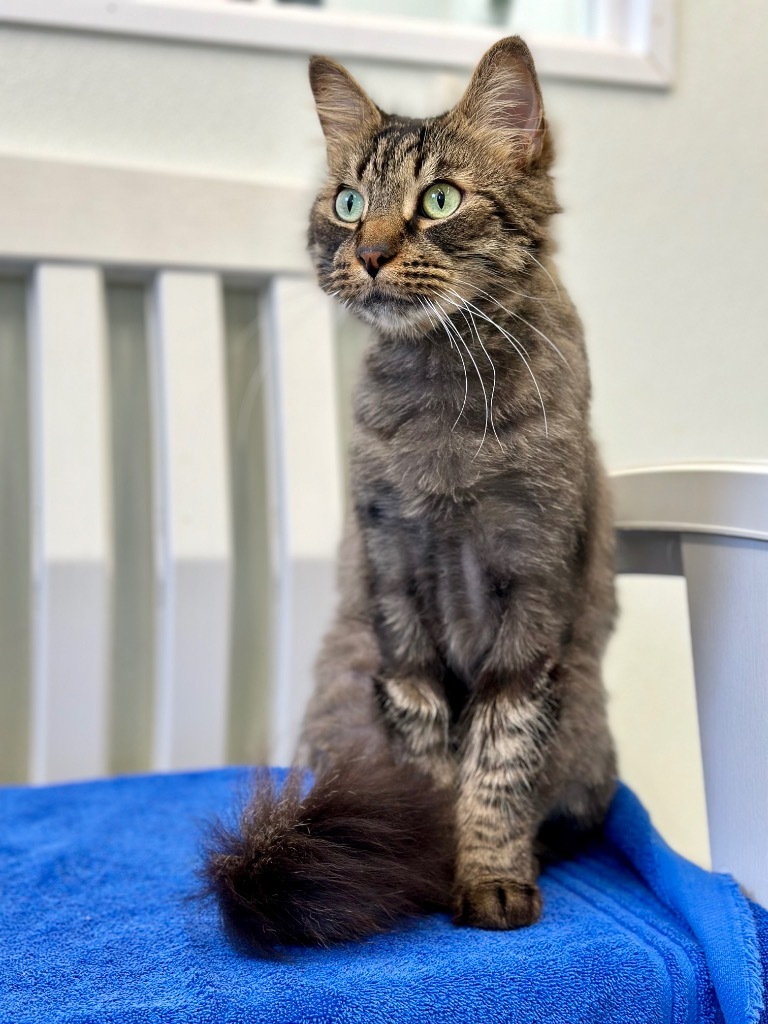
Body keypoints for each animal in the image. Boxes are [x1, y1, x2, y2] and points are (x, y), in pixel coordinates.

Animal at [205, 36, 618, 954]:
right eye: (350, 203)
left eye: (439, 200)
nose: (369, 254)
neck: (444, 409)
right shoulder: (396, 593)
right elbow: (427, 762)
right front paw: (424, 864)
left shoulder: (531, 603)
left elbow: (498, 763)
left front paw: (491, 877)